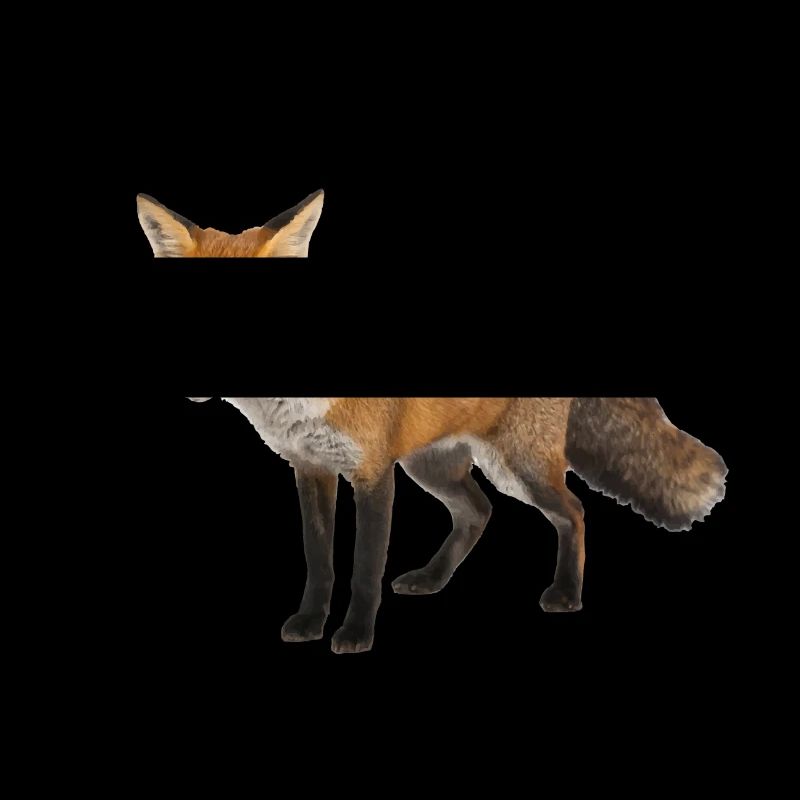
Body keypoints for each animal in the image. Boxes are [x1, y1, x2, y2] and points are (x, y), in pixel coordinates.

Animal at [139, 192, 728, 654]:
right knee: (478, 513)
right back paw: (433, 578)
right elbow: (319, 562)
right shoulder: (310, 470)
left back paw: (566, 593)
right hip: (434, 466)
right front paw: (309, 622)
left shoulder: (373, 474)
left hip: (518, 468)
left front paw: (355, 634)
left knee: (574, 513)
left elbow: (364, 569)